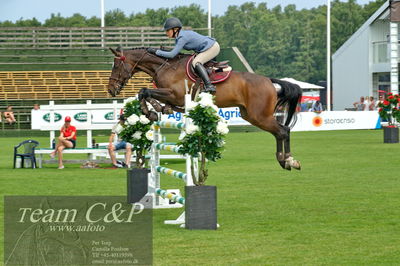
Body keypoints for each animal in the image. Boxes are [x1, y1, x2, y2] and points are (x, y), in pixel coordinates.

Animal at [108, 46, 302, 169]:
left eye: (116, 65)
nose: (111, 90)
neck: (166, 66)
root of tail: (269, 81)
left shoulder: (175, 95)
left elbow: (144, 91)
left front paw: (151, 112)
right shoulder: (172, 97)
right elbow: (146, 93)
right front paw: (157, 110)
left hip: (259, 116)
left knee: (283, 131)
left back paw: (288, 161)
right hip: (251, 115)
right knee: (279, 132)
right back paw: (285, 161)